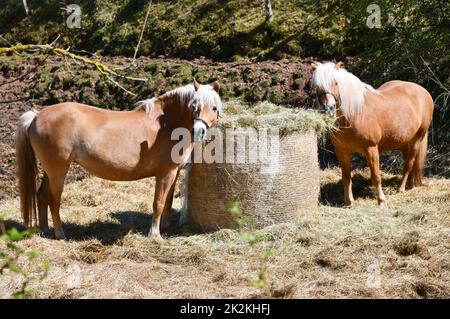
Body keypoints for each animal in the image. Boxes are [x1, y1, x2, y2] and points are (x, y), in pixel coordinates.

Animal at [16, 79, 222, 240]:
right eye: (193, 106)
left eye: (214, 107)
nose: (199, 131)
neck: (168, 124)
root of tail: (37, 116)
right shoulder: (165, 173)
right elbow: (158, 202)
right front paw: (155, 234)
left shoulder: (174, 171)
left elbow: (168, 202)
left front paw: (165, 228)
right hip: (58, 171)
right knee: (54, 200)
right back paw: (60, 234)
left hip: (49, 171)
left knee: (42, 196)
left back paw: (45, 230)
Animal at [312, 62, 434, 208]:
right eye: (317, 85)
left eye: (336, 83)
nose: (329, 108)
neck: (354, 114)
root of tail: (423, 92)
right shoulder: (342, 151)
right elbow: (346, 177)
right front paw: (348, 202)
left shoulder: (371, 148)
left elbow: (375, 176)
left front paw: (381, 201)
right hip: (404, 141)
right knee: (411, 161)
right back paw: (410, 185)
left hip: (418, 138)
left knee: (409, 163)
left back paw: (401, 188)